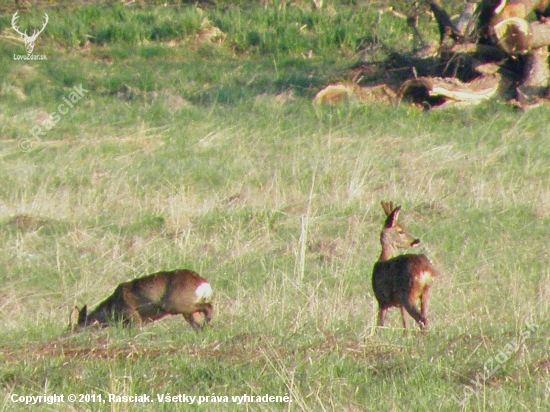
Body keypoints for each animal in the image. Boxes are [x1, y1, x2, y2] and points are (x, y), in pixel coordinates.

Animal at [68, 270, 213, 332]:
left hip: (175, 304)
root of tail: (202, 282)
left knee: (209, 307)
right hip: (187, 311)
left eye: (72, 328)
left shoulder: (134, 317)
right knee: (198, 322)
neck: (111, 307)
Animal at [374, 202, 438, 332]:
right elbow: (405, 325)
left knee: (422, 319)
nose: (416, 240)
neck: (383, 258)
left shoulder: (381, 299)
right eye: (401, 231)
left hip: (408, 294)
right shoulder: (399, 304)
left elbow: (380, 324)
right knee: (424, 318)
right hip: (426, 291)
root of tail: (425, 269)